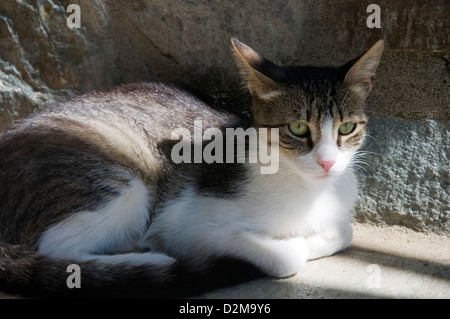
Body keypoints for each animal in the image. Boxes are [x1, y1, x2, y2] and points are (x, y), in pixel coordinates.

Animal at [0, 38, 384, 298]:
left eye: (347, 128)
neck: (308, 189)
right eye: (299, 128)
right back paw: (149, 261)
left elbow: (345, 231)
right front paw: (294, 244)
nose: (327, 161)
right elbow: (287, 257)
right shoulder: (188, 224)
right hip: (122, 176)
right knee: (59, 250)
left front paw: (320, 235)